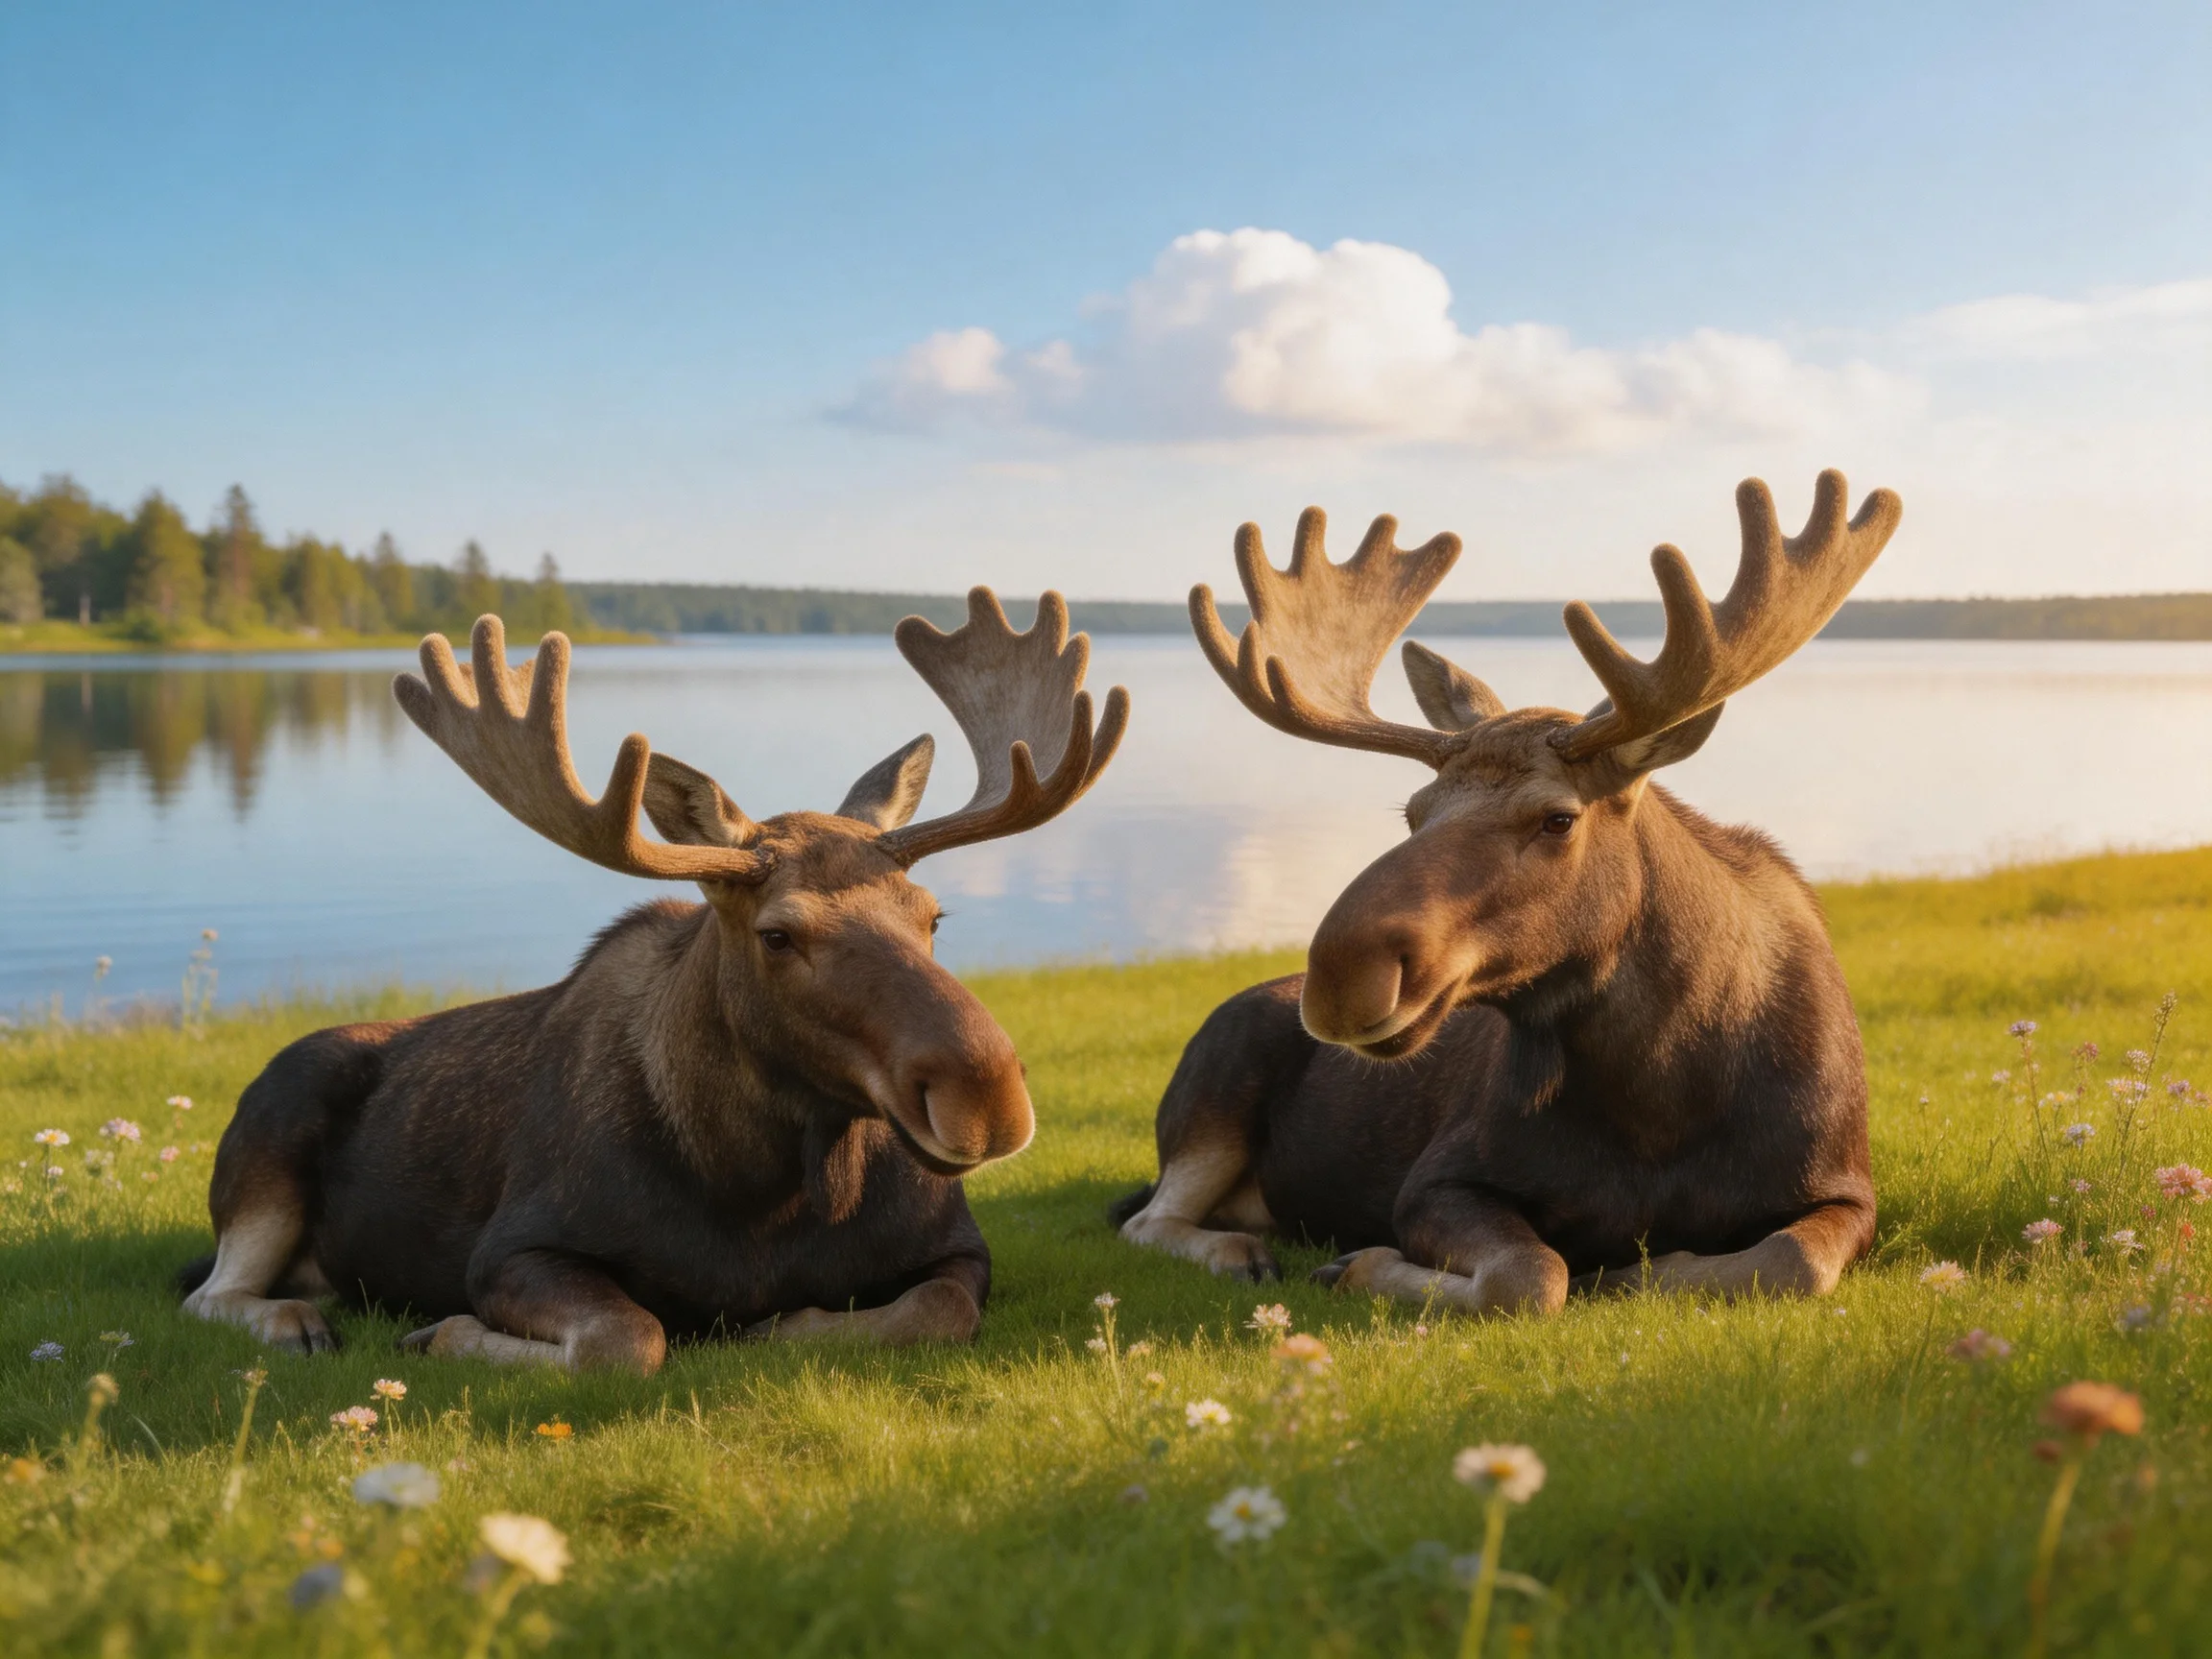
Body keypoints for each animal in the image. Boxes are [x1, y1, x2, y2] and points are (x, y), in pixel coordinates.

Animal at [180, 593, 1128, 1373]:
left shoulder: (961, 1248)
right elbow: (627, 1338)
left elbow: (933, 1312)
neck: (778, 1189)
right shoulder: (510, 1249)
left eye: (933, 915)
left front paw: (785, 1323)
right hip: (269, 1137)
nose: (989, 1096)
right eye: (778, 935)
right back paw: (297, 1321)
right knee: (213, 1291)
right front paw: (438, 1333)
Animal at [1111, 471, 1901, 1318]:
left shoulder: (1846, 1187)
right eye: (1414, 811)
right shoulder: (1437, 1180)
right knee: (1149, 1219)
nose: (1343, 976)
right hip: (1209, 1100)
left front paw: (1634, 1271)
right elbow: (1529, 1275)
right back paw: (1241, 1252)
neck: (1661, 1092)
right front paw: (1357, 1265)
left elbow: (1790, 1260)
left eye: (1558, 818)